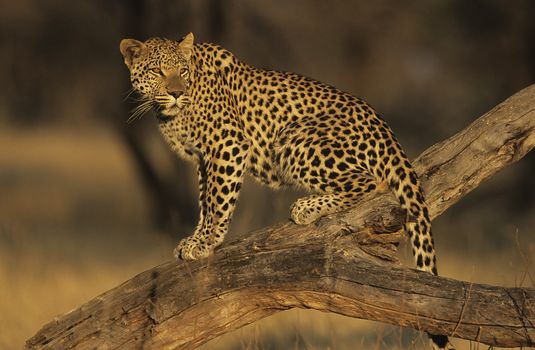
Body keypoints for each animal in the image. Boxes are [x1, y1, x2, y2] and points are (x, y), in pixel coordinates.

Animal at [120, 33, 452, 350]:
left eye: (183, 71)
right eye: (157, 70)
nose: (178, 93)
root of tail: (387, 132)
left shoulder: (228, 145)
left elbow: (218, 201)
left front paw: (206, 243)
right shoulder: (204, 158)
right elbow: (205, 202)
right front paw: (195, 238)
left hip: (295, 139)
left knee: (373, 183)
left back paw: (306, 208)